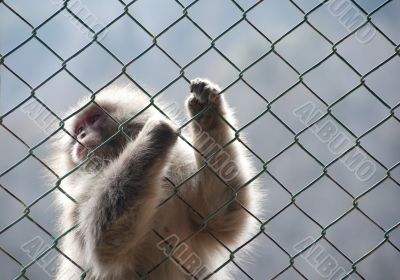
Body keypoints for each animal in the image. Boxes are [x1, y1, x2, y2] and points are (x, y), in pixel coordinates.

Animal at [53, 79, 260, 280]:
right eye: (79, 128)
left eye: (93, 119)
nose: (81, 135)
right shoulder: (81, 193)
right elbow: (102, 243)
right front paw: (153, 137)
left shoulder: (179, 167)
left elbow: (221, 217)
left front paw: (206, 110)